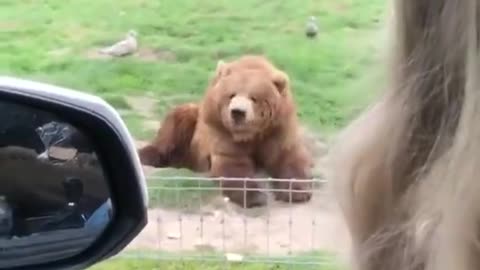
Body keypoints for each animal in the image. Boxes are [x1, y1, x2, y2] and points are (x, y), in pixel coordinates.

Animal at [138, 54, 316, 207]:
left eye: (254, 97)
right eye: (231, 94)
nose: (237, 112)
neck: (251, 135)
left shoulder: (278, 129)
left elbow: (287, 157)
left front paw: (297, 192)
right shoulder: (221, 131)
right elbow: (232, 163)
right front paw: (254, 196)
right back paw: (147, 156)